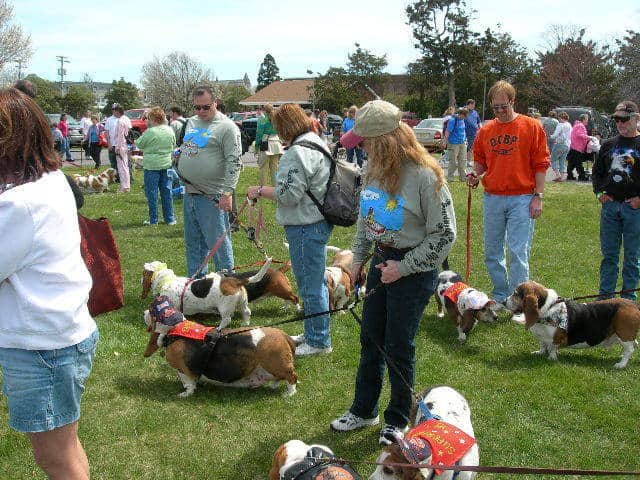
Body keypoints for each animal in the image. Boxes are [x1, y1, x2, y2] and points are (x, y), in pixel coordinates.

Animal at [508, 280, 636, 370]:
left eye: (516, 294)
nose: (504, 302)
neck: (547, 309)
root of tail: (634, 305)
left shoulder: (556, 338)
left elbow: (553, 347)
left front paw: (551, 358)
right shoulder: (542, 338)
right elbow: (543, 345)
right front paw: (539, 353)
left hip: (624, 335)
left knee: (629, 349)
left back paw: (621, 364)